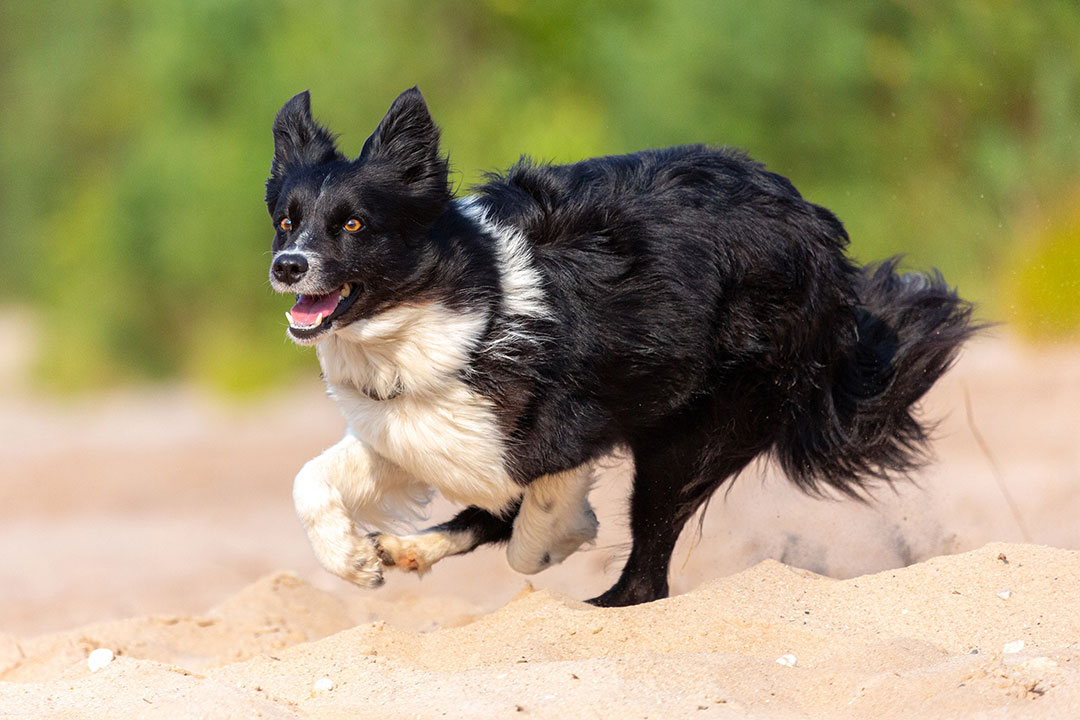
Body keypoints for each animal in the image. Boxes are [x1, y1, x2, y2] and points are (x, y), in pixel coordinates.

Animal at [267, 88, 980, 608]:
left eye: (353, 223)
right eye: (285, 221)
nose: (286, 266)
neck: (461, 302)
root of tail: (821, 237)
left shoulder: (558, 433)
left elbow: (530, 528)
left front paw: (563, 537)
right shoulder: (419, 425)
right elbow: (309, 480)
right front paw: (353, 561)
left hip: (696, 431)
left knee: (647, 574)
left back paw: (602, 603)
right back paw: (410, 549)